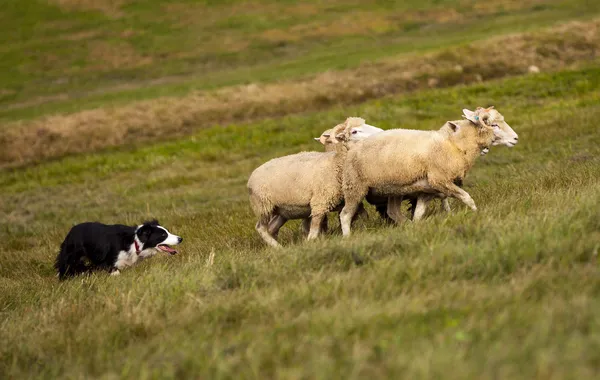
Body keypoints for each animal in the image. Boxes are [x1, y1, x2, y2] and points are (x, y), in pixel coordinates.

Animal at [340, 105, 516, 233]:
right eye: (494, 125)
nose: (516, 138)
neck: (455, 144)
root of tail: (351, 149)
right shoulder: (440, 180)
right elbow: (467, 197)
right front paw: (476, 213)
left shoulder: (429, 189)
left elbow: (418, 213)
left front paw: (417, 227)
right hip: (354, 187)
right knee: (345, 215)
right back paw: (347, 238)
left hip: (393, 188)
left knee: (392, 211)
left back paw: (407, 226)